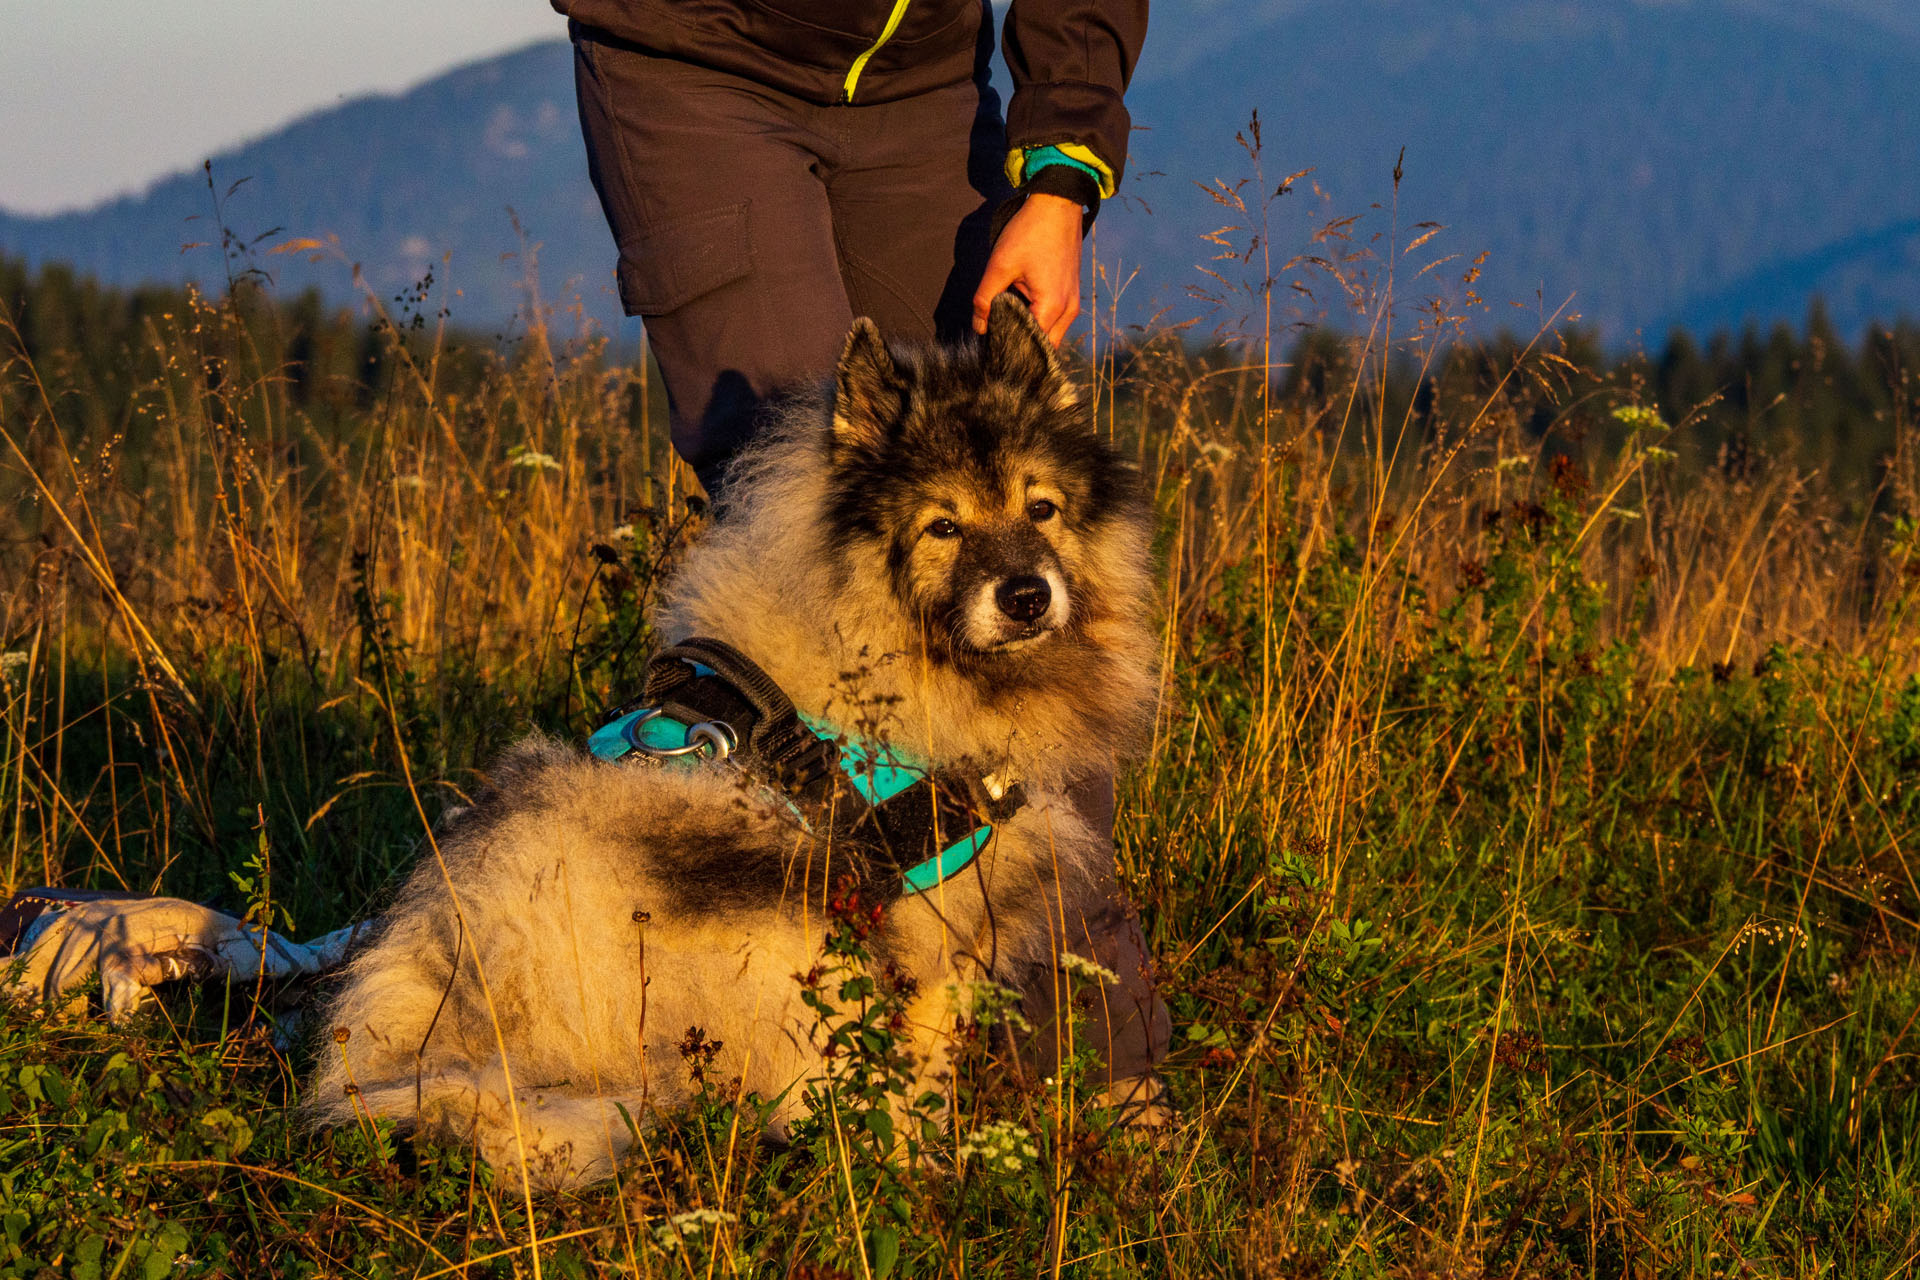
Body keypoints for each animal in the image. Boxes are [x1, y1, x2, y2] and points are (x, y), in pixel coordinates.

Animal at [307, 295, 1159, 1189]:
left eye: (1042, 509)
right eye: (943, 528)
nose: (1027, 596)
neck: (874, 646)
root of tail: (460, 1034)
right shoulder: (928, 927)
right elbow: (920, 1067)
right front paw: (914, 1162)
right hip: (783, 917)